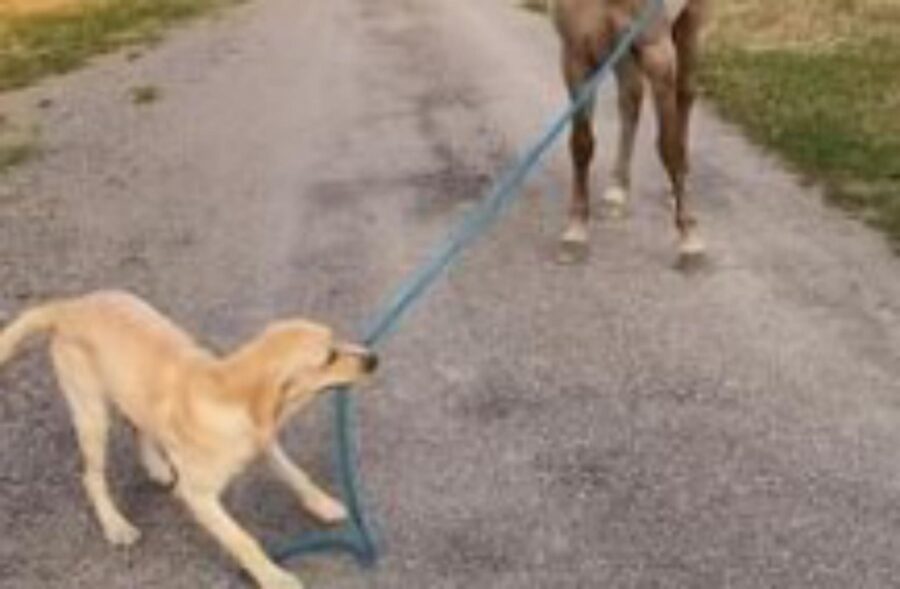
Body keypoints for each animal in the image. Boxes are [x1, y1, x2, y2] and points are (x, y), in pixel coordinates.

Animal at [552, 0, 708, 262]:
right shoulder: (576, 55)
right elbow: (582, 143)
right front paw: (576, 229)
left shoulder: (658, 54)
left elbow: (670, 146)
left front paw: (689, 237)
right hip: (622, 52)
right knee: (631, 99)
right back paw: (618, 189)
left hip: (691, 22)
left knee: (685, 94)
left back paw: (674, 191)